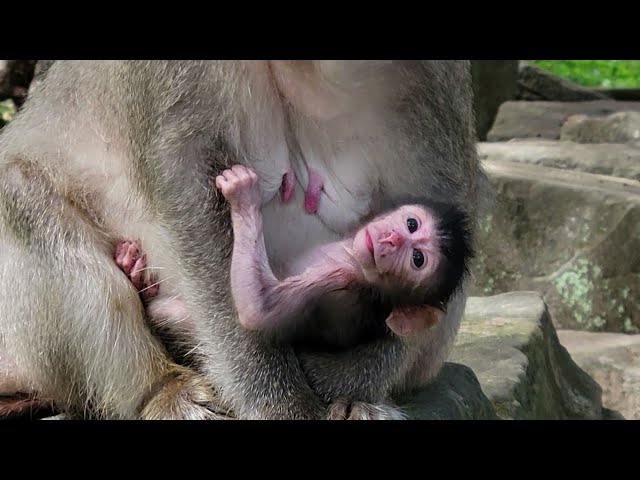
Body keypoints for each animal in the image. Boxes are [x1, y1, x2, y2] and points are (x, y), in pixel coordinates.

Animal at [117, 165, 472, 338]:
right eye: (412, 224)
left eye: (417, 259)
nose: (392, 240)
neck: (350, 257)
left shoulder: (336, 278)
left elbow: (259, 310)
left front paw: (244, 197)